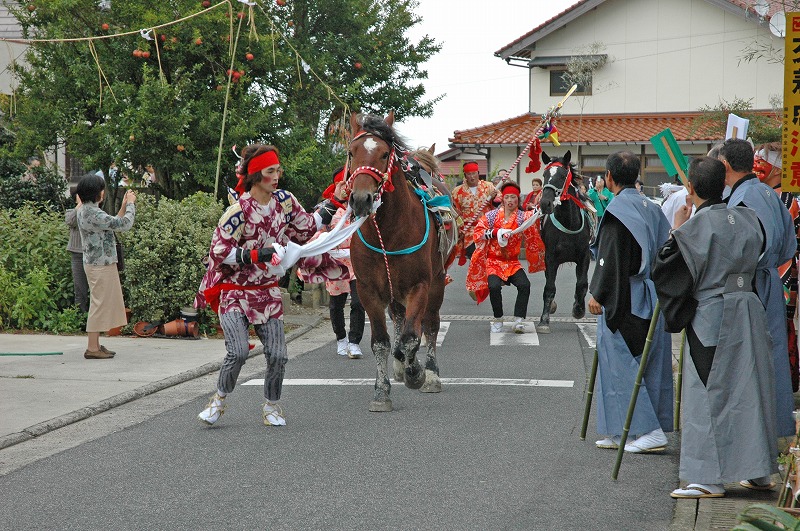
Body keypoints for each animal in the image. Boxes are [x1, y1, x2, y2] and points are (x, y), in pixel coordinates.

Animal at [346, 111, 454, 412]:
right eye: (351, 152)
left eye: (384, 154)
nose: (361, 199)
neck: (389, 231)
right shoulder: (368, 289)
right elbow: (381, 342)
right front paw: (381, 391)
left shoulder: (420, 285)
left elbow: (412, 336)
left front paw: (416, 372)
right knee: (397, 318)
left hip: (436, 282)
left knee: (430, 324)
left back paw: (430, 373)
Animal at [536, 151, 592, 332]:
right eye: (545, 175)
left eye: (561, 176)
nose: (545, 203)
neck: (569, 222)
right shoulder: (550, 256)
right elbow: (549, 287)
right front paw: (544, 320)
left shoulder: (584, 255)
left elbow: (582, 283)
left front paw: (578, 309)